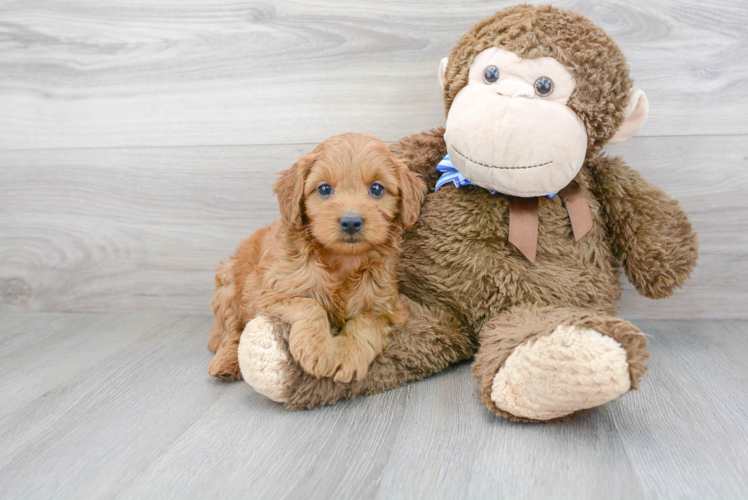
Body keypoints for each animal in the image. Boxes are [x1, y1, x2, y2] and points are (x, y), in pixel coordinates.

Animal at [207, 133, 426, 382]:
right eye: (324, 189)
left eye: (377, 189)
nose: (351, 222)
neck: (343, 261)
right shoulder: (268, 296)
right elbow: (308, 304)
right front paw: (318, 349)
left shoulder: (389, 310)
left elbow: (365, 322)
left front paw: (348, 356)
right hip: (228, 289)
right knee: (232, 331)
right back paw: (226, 362)